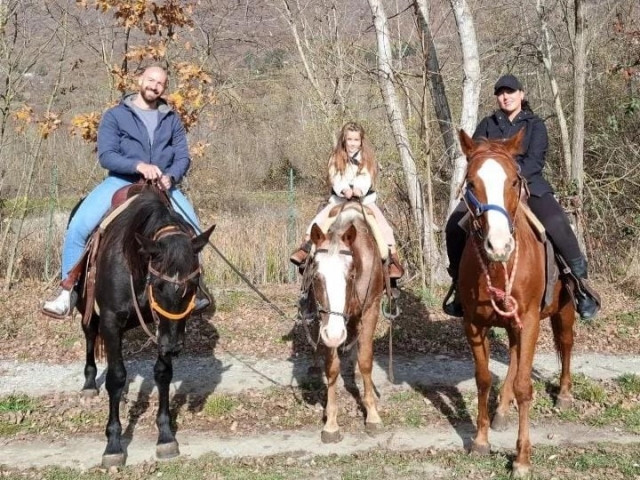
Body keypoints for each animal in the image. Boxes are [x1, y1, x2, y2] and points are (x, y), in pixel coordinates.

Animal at [76, 187, 215, 468]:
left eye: (193, 285)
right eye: (158, 286)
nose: (173, 347)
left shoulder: (165, 328)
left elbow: (163, 374)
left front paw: (165, 436)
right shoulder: (110, 321)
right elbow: (116, 377)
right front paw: (113, 445)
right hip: (88, 311)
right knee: (90, 336)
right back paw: (89, 385)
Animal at [301, 203, 385, 443]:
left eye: (351, 275)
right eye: (316, 277)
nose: (336, 335)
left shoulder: (370, 310)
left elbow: (365, 361)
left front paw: (372, 416)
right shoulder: (326, 322)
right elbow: (332, 367)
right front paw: (331, 423)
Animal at [457, 129, 575, 477]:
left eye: (513, 181)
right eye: (471, 183)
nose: (499, 246)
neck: (499, 267)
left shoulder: (531, 321)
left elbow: (525, 386)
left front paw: (521, 458)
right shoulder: (474, 323)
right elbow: (483, 379)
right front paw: (480, 440)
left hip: (565, 309)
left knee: (566, 343)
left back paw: (564, 394)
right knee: (512, 355)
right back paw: (502, 410)